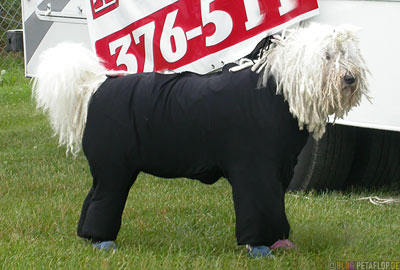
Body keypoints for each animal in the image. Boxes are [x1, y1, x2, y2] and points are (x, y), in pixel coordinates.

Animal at [33, 22, 368, 255]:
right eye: (327, 56)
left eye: (346, 55)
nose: (350, 78)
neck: (277, 87)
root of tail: (95, 85)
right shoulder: (254, 168)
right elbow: (258, 206)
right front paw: (259, 248)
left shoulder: (279, 169)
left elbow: (275, 206)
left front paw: (280, 241)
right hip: (113, 168)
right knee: (103, 202)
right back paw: (102, 242)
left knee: (92, 200)